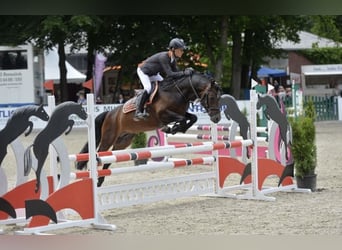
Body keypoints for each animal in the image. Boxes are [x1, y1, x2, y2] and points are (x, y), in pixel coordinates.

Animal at [76, 71, 223, 187]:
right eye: (211, 97)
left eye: (219, 97)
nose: (216, 118)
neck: (178, 92)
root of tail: (109, 113)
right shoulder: (163, 114)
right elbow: (182, 119)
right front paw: (172, 128)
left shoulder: (180, 112)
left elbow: (193, 117)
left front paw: (176, 128)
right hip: (108, 137)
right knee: (100, 154)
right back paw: (93, 176)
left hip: (123, 141)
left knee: (110, 159)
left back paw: (100, 181)